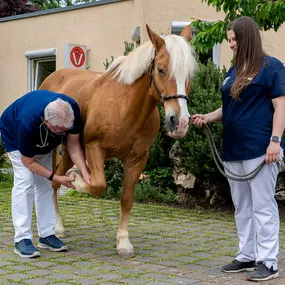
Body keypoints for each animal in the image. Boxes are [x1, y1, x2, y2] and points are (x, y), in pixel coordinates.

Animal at [38, 24, 196, 258]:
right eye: (160, 69)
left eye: (190, 73)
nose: (180, 122)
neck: (124, 105)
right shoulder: (94, 148)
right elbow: (98, 186)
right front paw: (77, 180)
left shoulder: (137, 158)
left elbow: (126, 198)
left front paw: (123, 243)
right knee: (55, 180)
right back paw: (56, 227)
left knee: (56, 179)